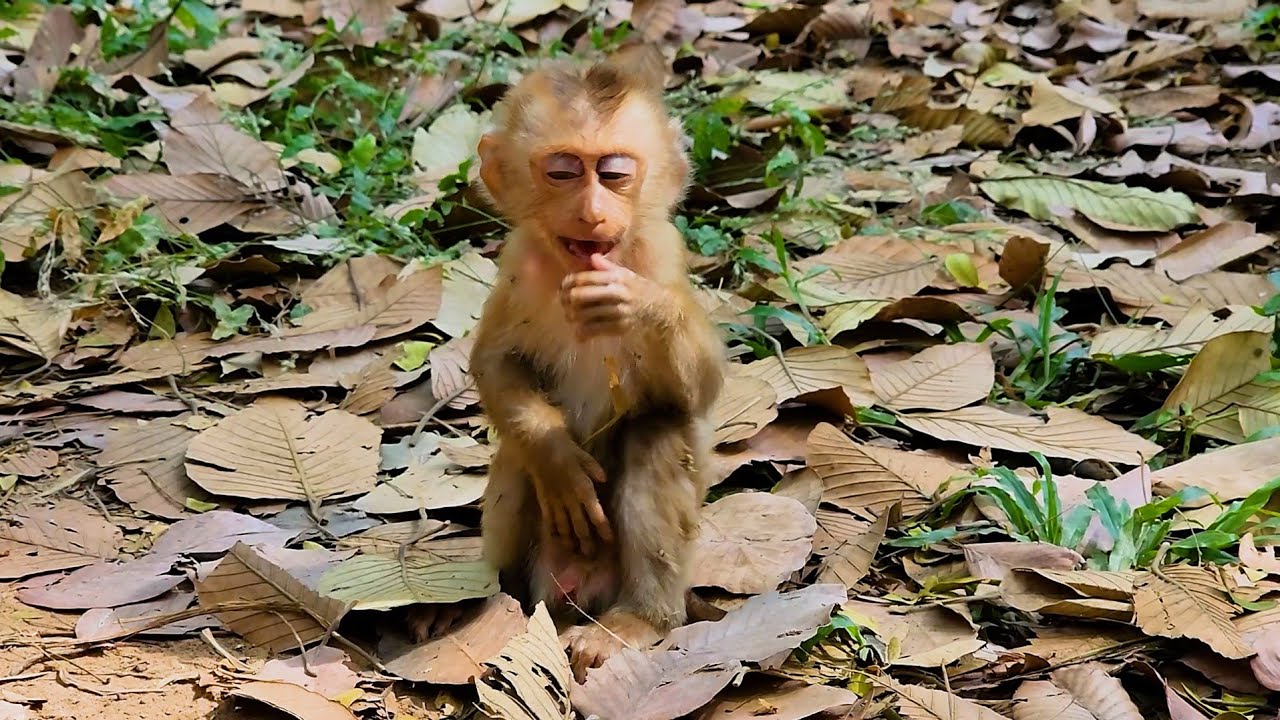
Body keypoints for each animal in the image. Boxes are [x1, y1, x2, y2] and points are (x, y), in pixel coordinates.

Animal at [412, 45, 725, 681]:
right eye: (562, 172)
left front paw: (637, 303)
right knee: (515, 459)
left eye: (615, 174)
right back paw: (492, 599)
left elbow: (700, 390)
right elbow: (497, 364)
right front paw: (556, 458)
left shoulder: (660, 252)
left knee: (657, 432)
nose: (592, 213)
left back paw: (638, 621)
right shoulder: (517, 262)